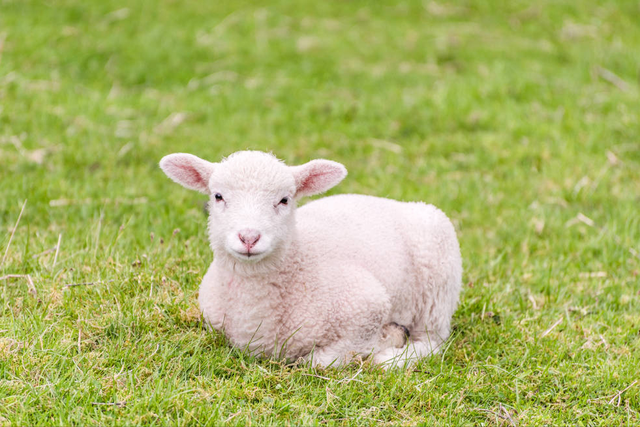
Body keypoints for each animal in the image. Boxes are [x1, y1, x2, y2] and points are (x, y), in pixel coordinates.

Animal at [159, 152, 460, 370]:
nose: (249, 237)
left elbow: (319, 362)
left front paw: (385, 341)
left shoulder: (367, 305)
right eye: (218, 196)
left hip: (438, 286)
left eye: (284, 200)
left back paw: (392, 357)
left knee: (433, 341)